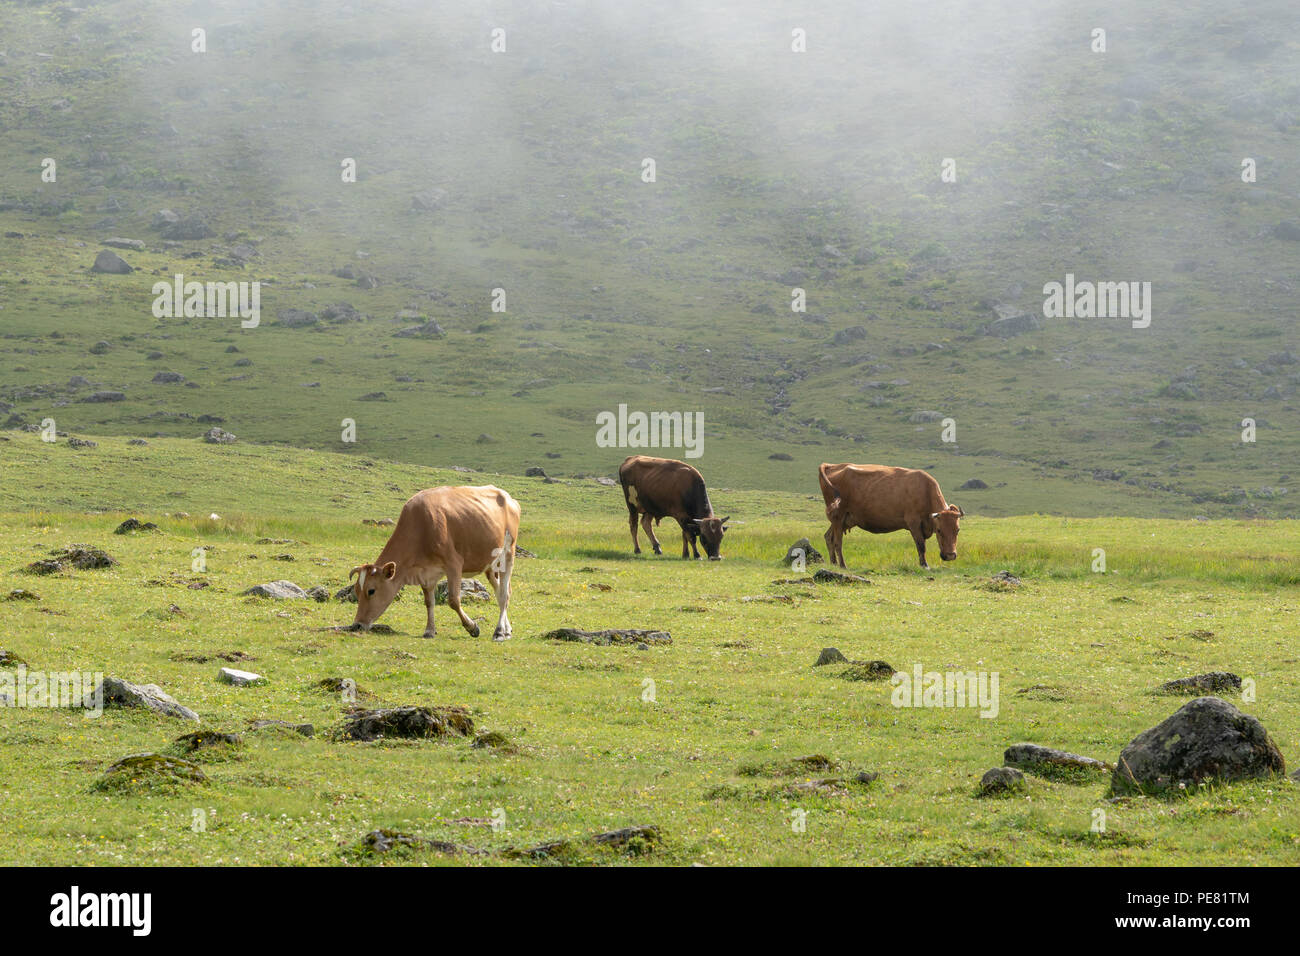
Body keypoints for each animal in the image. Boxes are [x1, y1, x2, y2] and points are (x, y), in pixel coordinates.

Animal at [349, 485, 521, 641]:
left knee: (504, 594)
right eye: (356, 590)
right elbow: (429, 602)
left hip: (508, 553)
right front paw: (429, 630)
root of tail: (508, 497)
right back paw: (507, 630)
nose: (357, 625)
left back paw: (499, 632)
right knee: (501, 592)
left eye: (371, 590)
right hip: (490, 564)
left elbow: (453, 600)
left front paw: (472, 627)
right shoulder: (426, 573)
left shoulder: (454, 563)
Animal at [818, 463, 963, 569]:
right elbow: (921, 545)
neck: (925, 491)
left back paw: (834, 563)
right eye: (939, 530)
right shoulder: (914, 522)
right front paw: (924, 565)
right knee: (837, 542)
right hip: (838, 517)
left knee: (828, 537)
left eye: (957, 530)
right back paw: (842, 565)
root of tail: (833, 465)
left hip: (843, 520)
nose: (950, 555)